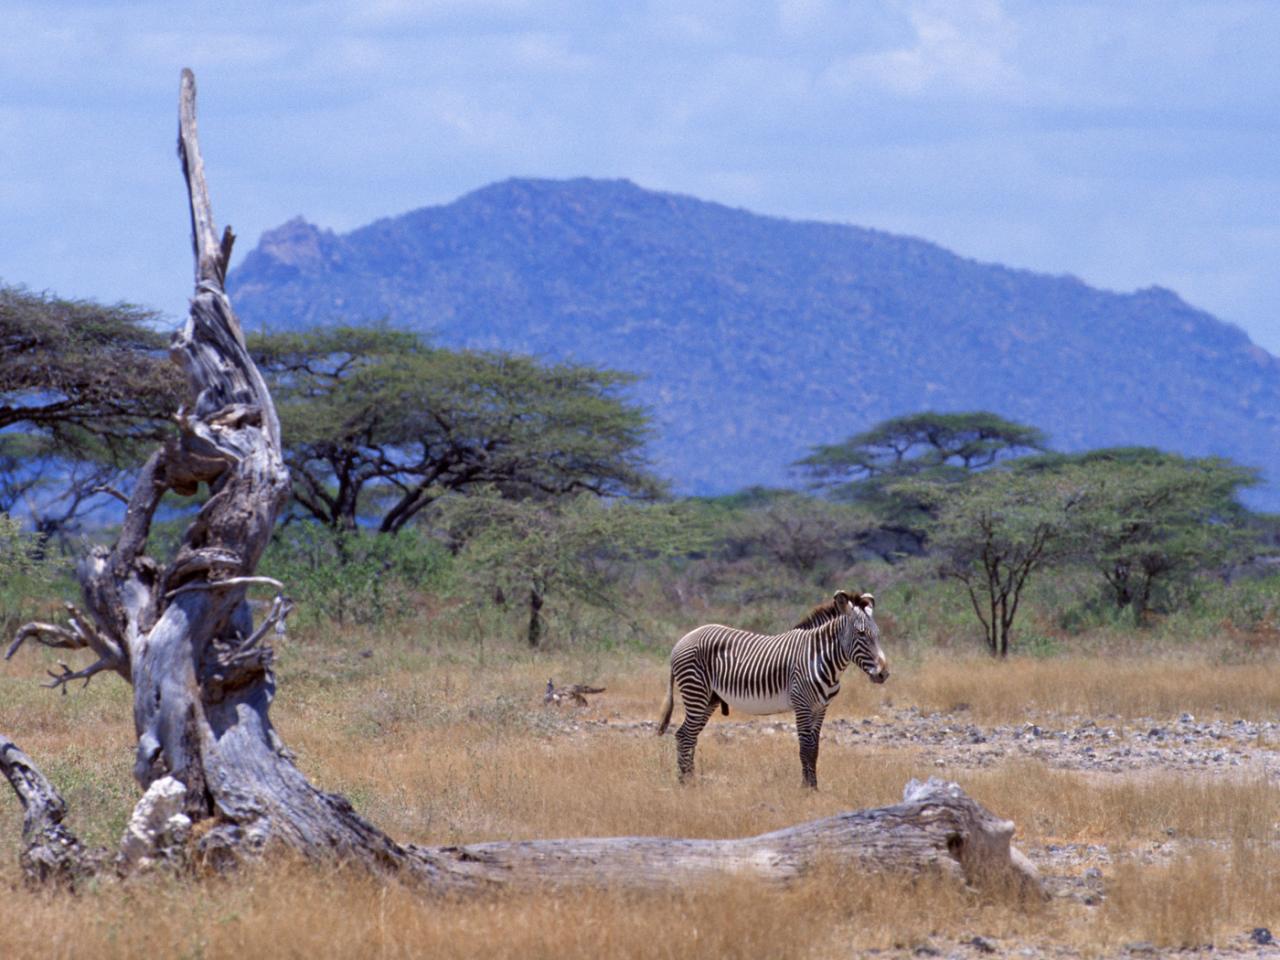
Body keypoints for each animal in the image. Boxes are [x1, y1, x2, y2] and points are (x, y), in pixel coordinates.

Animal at [655, 593, 885, 788]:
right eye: (860, 634)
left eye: (878, 634)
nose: (884, 673)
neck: (819, 658)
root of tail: (681, 641)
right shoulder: (802, 704)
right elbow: (805, 747)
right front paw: (806, 789)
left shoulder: (821, 707)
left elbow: (815, 749)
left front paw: (814, 787)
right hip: (696, 691)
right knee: (685, 735)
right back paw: (686, 784)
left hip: (709, 699)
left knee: (688, 735)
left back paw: (689, 779)